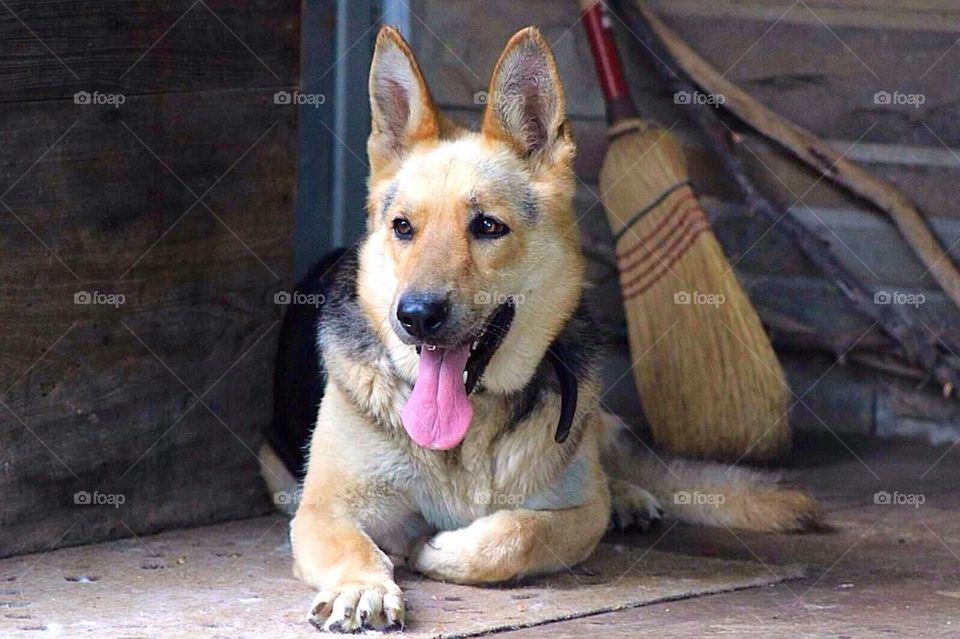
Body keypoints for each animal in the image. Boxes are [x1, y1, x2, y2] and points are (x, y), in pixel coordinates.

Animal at [262, 26, 816, 636]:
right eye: (402, 227)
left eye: (487, 226)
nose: (416, 316)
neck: (470, 430)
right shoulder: (323, 512)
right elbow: (355, 546)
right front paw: (363, 585)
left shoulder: (576, 513)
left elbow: (520, 531)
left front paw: (445, 549)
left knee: (603, 459)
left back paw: (626, 492)